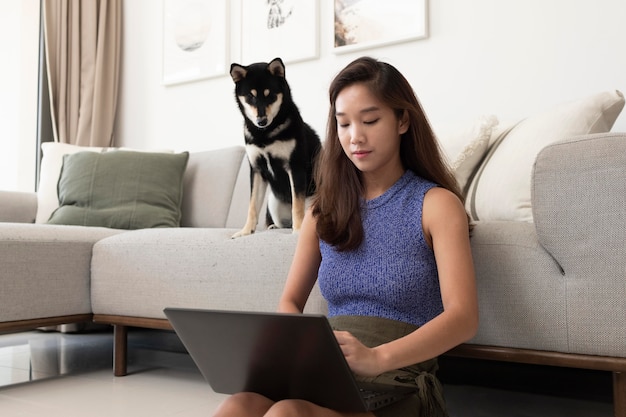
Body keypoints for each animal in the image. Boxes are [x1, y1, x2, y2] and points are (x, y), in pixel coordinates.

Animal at [228, 57, 320, 237]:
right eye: (250, 96)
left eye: (269, 95)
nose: (261, 121)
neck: (265, 134)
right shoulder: (257, 169)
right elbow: (252, 206)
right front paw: (246, 231)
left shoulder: (295, 166)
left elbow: (297, 205)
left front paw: (298, 231)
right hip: (273, 202)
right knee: (282, 222)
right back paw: (275, 227)